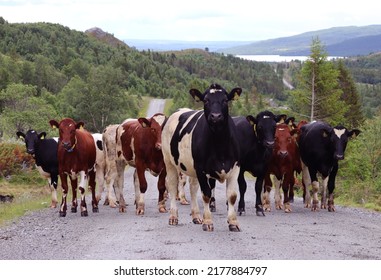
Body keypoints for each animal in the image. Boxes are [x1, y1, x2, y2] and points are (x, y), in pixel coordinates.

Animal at [162, 83, 242, 232]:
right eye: (206, 100)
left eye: (225, 100)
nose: (216, 116)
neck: (220, 144)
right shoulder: (201, 169)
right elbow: (206, 194)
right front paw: (208, 221)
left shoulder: (235, 168)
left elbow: (232, 196)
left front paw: (233, 222)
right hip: (168, 161)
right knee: (172, 185)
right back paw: (173, 217)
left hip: (192, 168)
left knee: (193, 188)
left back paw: (196, 216)